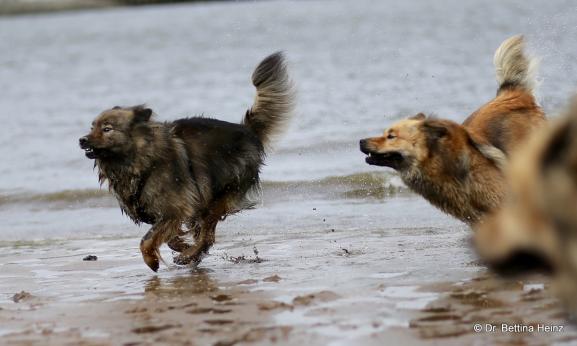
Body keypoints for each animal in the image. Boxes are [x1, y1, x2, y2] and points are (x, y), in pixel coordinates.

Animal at [79, 52, 294, 272]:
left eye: (107, 129)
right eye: (92, 127)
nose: (82, 140)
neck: (141, 158)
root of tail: (247, 131)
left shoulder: (175, 209)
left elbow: (147, 239)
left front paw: (153, 259)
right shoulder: (166, 212)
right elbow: (169, 237)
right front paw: (180, 245)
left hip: (218, 197)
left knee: (207, 235)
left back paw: (189, 257)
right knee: (203, 233)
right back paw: (191, 254)